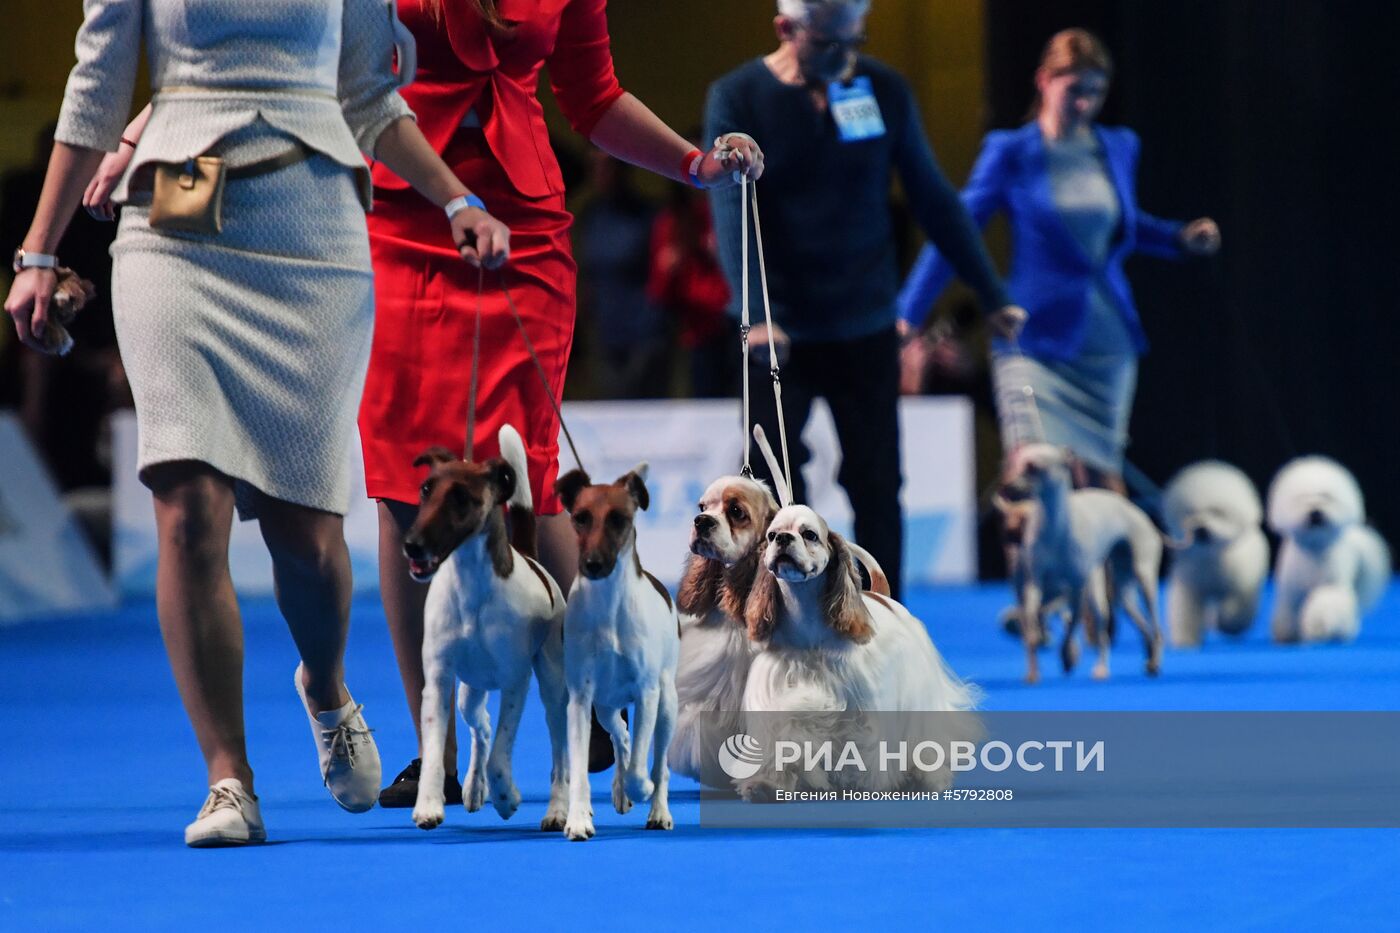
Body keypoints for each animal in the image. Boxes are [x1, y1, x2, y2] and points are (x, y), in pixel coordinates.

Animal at [403, 425, 565, 829]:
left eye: (461, 498)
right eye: (425, 489)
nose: (412, 546)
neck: (472, 587)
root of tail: (531, 558)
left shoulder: (516, 681)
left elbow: (502, 751)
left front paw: (506, 795)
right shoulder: (438, 679)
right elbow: (435, 747)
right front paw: (428, 804)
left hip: (552, 684)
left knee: (558, 749)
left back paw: (555, 808)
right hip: (469, 691)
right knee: (482, 726)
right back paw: (474, 788)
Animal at [551, 462, 677, 834]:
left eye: (619, 519)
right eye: (580, 517)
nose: (593, 564)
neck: (609, 608)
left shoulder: (648, 693)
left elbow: (642, 768)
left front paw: (643, 788)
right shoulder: (580, 699)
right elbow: (580, 769)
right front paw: (578, 819)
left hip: (667, 702)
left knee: (658, 761)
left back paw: (658, 809)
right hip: (606, 706)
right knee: (620, 737)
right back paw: (620, 789)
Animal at [1002, 439, 1164, 680]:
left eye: (1032, 466)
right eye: (1013, 464)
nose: (1006, 487)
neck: (1055, 531)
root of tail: (1138, 513)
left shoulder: (1077, 588)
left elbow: (1072, 627)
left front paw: (1067, 656)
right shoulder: (1034, 587)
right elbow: (1034, 626)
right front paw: (1034, 669)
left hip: (1137, 583)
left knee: (1136, 627)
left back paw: (1107, 666)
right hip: (1122, 590)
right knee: (1140, 623)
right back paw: (1150, 657)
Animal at [1159, 459, 1271, 647]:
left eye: (1217, 512)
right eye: (1190, 513)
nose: (1200, 529)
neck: (1212, 556)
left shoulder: (1240, 588)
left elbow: (1234, 611)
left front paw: (1226, 624)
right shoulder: (1191, 587)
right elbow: (1187, 613)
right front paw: (1185, 640)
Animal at [1271, 456, 1388, 638]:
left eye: (1326, 496)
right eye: (1303, 497)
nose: (1315, 512)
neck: (1315, 547)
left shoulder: (1331, 584)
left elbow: (1327, 604)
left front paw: (1319, 626)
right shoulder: (1292, 590)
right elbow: (1290, 611)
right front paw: (1288, 634)